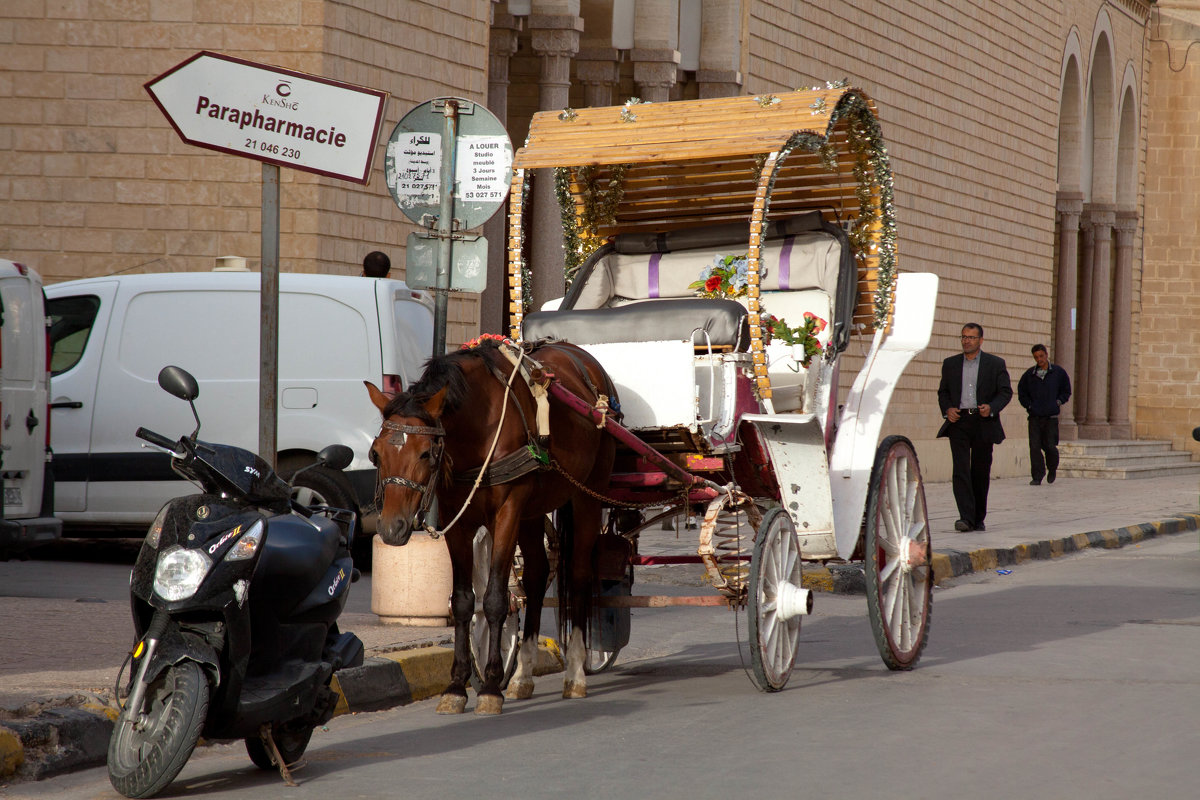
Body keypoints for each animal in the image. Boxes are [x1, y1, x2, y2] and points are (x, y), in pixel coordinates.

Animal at [364, 335, 619, 714]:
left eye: (426, 452)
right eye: (376, 453)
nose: (392, 528)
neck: (476, 427)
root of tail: (583, 358)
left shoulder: (508, 511)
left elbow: (496, 598)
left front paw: (489, 688)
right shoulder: (456, 520)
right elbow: (463, 601)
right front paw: (457, 686)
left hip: (587, 495)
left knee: (578, 575)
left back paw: (575, 673)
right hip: (532, 512)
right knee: (537, 574)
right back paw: (523, 675)